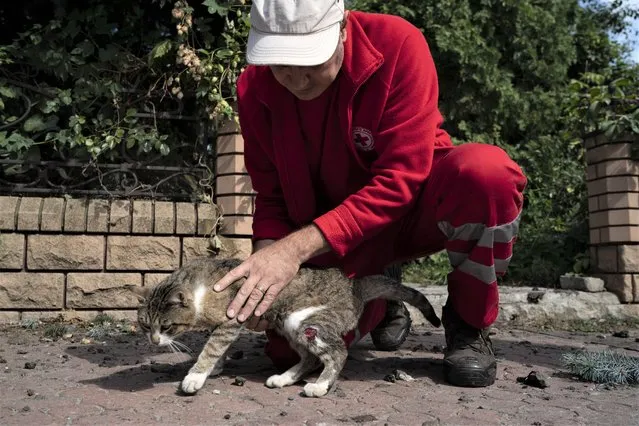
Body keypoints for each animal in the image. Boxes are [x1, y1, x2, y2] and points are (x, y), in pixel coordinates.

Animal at [132, 255, 442, 398]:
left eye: (166, 326)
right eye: (145, 326)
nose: (154, 342)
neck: (200, 290)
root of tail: (353, 285)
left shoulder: (232, 319)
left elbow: (211, 348)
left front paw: (196, 376)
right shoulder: (221, 323)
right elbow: (216, 347)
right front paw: (217, 367)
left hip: (308, 322)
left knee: (337, 353)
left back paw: (319, 386)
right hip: (289, 324)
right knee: (309, 358)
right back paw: (284, 378)